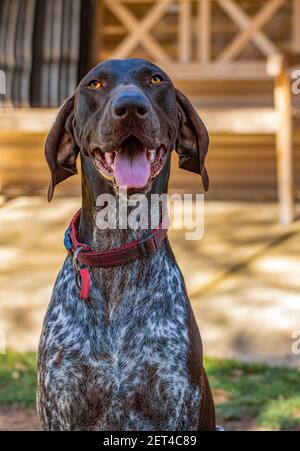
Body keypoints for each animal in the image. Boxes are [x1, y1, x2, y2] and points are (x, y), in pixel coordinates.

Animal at [37, 58, 216, 432]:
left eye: (156, 79)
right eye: (94, 84)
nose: (131, 107)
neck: (116, 248)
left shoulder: (178, 405)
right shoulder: (59, 404)